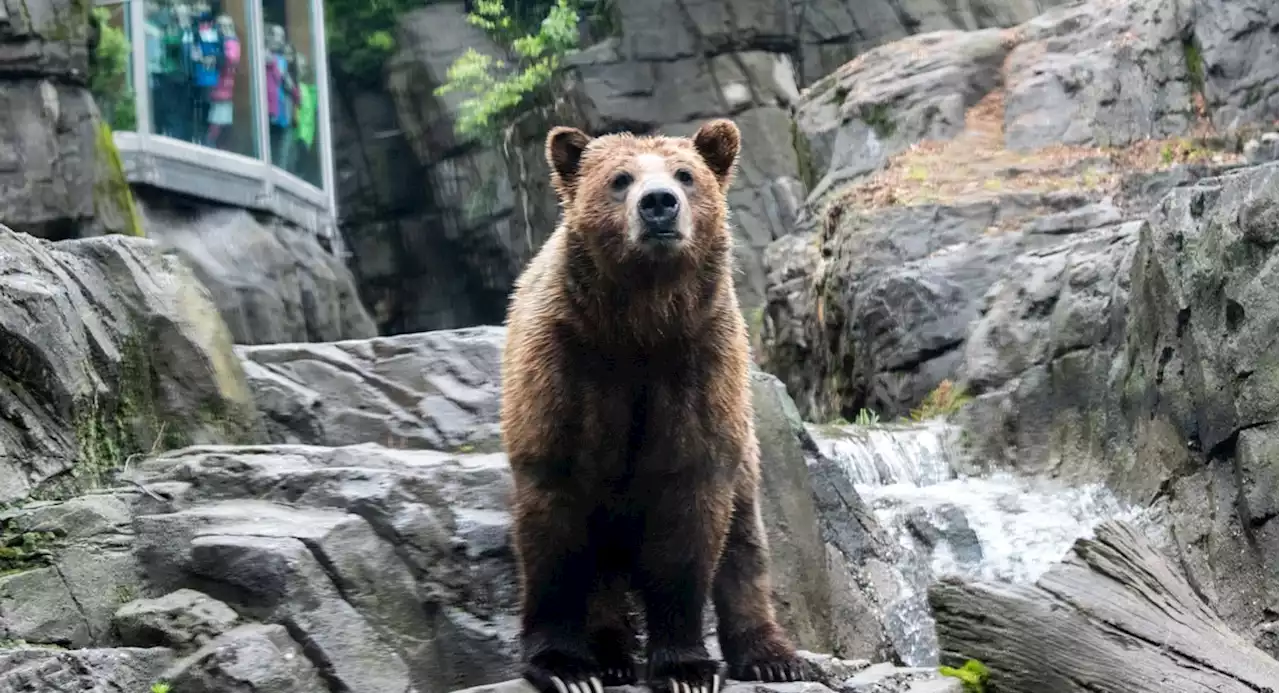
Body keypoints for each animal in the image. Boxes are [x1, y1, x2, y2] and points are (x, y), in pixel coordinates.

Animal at [499, 120, 808, 693]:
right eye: (620, 178)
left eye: (686, 174)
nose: (659, 203)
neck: (639, 325)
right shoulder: (565, 370)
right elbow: (553, 531)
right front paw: (564, 666)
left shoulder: (697, 365)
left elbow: (689, 524)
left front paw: (686, 667)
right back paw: (611, 654)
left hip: (746, 451)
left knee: (745, 544)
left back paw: (772, 654)